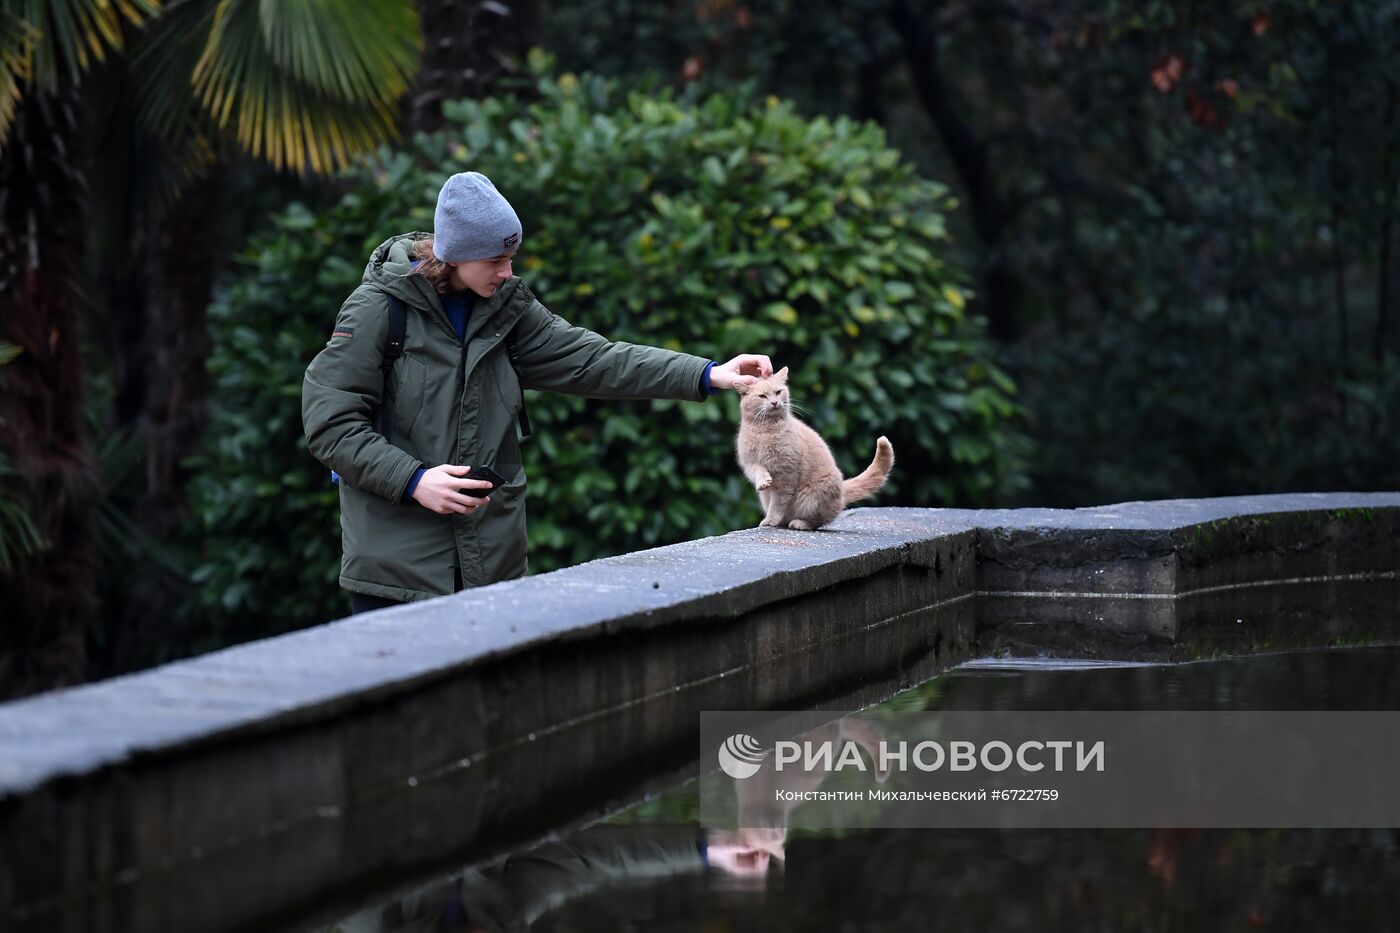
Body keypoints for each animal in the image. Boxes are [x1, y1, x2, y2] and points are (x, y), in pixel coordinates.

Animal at [733, 364, 896, 526]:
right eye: (762, 396)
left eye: (778, 392)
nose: (774, 402)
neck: (765, 431)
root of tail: (842, 491)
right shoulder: (750, 463)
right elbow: (759, 470)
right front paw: (763, 481)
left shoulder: (786, 473)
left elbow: (778, 503)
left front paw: (771, 519)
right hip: (766, 497)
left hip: (812, 498)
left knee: (819, 520)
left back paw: (800, 523)